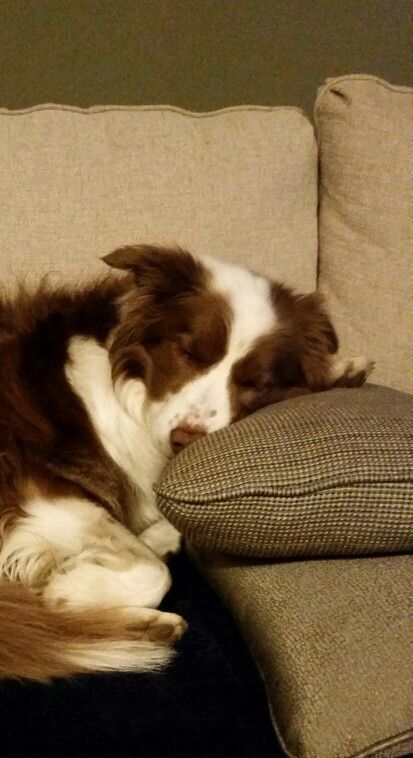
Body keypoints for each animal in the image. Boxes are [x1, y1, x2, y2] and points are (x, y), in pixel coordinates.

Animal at [0, 246, 374, 684]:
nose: (184, 439)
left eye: (254, 382)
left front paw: (344, 369)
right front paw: (67, 590)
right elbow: (150, 571)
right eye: (188, 353)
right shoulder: (38, 488)